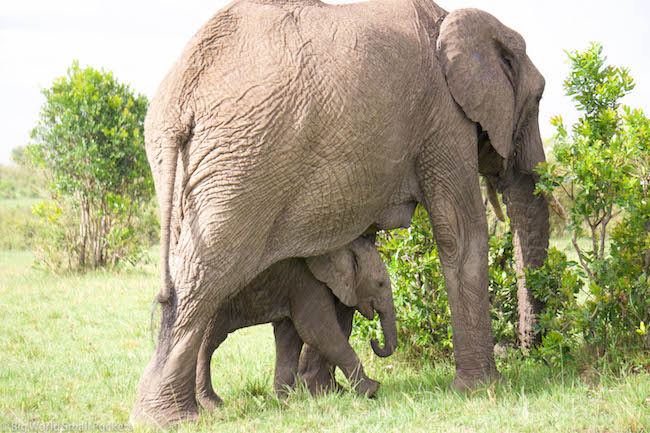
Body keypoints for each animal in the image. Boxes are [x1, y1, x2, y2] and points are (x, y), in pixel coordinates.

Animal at [195, 236, 394, 408]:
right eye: (380, 283)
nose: (375, 341)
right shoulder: (306, 280)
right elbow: (317, 332)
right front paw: (371, 389)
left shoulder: (292, 285)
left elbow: (289, 336)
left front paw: (280, 401)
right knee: (207, 343)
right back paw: (213, 405)